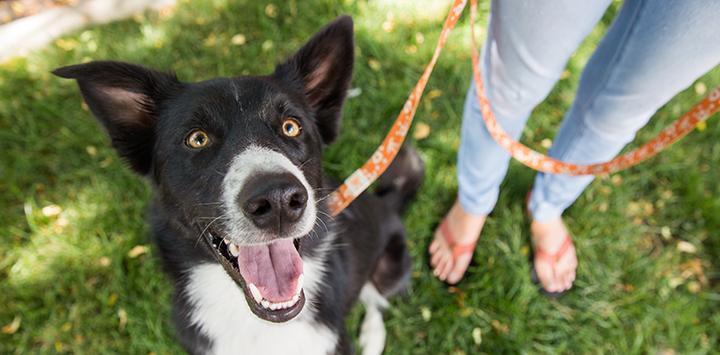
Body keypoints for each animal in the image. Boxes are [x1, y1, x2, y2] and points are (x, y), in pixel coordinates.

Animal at [54, 15, 422, 354]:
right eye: (197, 139)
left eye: (291, 126)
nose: (277, 200)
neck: (258, 323)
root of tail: (387, 203)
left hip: (391, 267)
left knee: (375, 299)